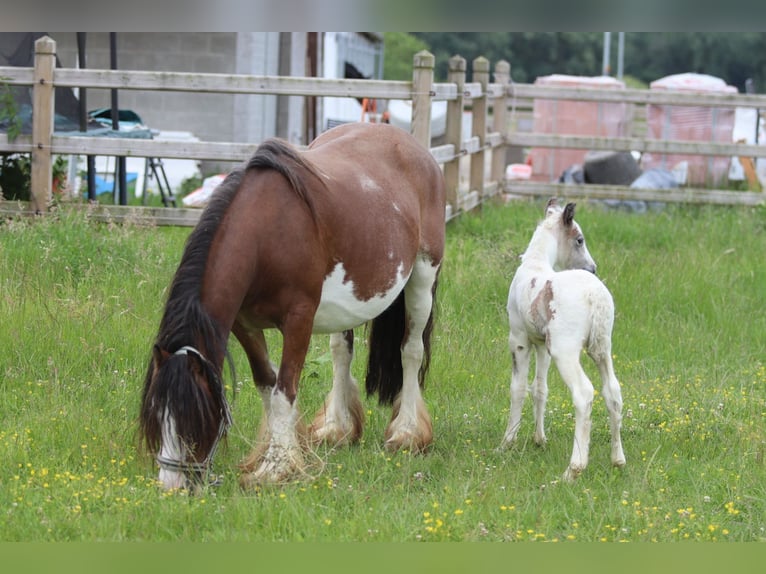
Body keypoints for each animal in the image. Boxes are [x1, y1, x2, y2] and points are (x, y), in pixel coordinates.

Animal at [139, 122, 446, 490]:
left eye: (193, 419)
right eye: (156, 416)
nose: (172, 486)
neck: (266, 233)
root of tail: (415, 148)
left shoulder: (299, 320)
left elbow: (284, 389)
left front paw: (277, 466)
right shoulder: (245, 325)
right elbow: (266, 384)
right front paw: (279, 450)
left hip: (423, 277)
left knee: (410, 351)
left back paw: (407, 433)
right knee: (342, 353)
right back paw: (336, 428)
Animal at [500, 198, 626, 481]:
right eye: (579, 240)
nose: (593, 267)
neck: (535, 264)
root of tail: (595, 295)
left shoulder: (519, 339)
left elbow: (518, 388)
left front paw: (508, 441)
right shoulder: (541, 346)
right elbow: (540, 389)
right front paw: (539, 439)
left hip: (565, 351)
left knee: (584, 393)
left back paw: (574, 468)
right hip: (602, 348)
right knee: (612, 392)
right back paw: (618, 460)